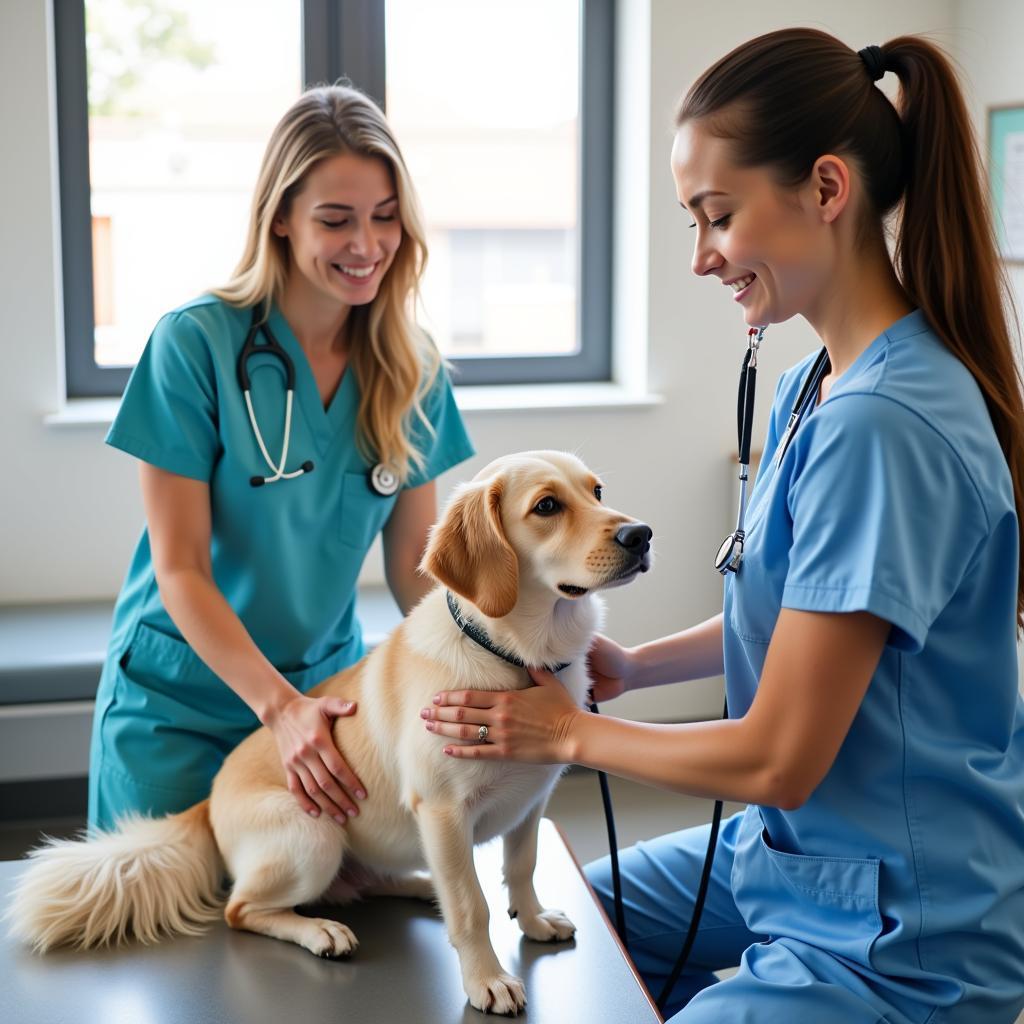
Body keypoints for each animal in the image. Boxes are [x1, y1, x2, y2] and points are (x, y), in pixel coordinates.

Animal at [4, 454, 651, 1015]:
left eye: (597, 490)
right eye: (547, 506)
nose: (641, 534)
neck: (516, 657)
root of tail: (206, 802)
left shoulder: (530, 804)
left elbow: (520, 870)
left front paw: (534, 920)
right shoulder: (443, 810)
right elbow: (472, 908)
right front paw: (486, 980)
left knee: (376, 883)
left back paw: (418, 886)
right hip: (313, 835)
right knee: (241, 909)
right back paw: (320, 931)